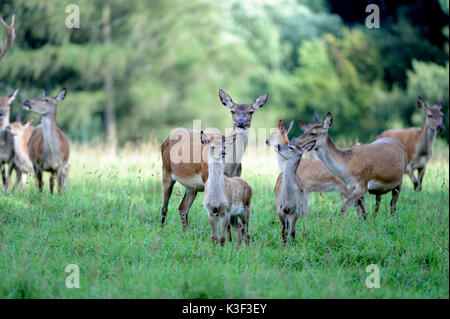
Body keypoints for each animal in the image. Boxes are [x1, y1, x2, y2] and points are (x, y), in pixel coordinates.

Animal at [161, 89, 268, 230]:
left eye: (251, 112)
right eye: (232, 111)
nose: (240, 123)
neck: (229, 165)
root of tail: (166, 139)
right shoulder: (207, 176)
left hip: (191, 186)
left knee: (182, 208)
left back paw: (186, 231)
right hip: (166, 170)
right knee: (165, 206)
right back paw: (161, 228)